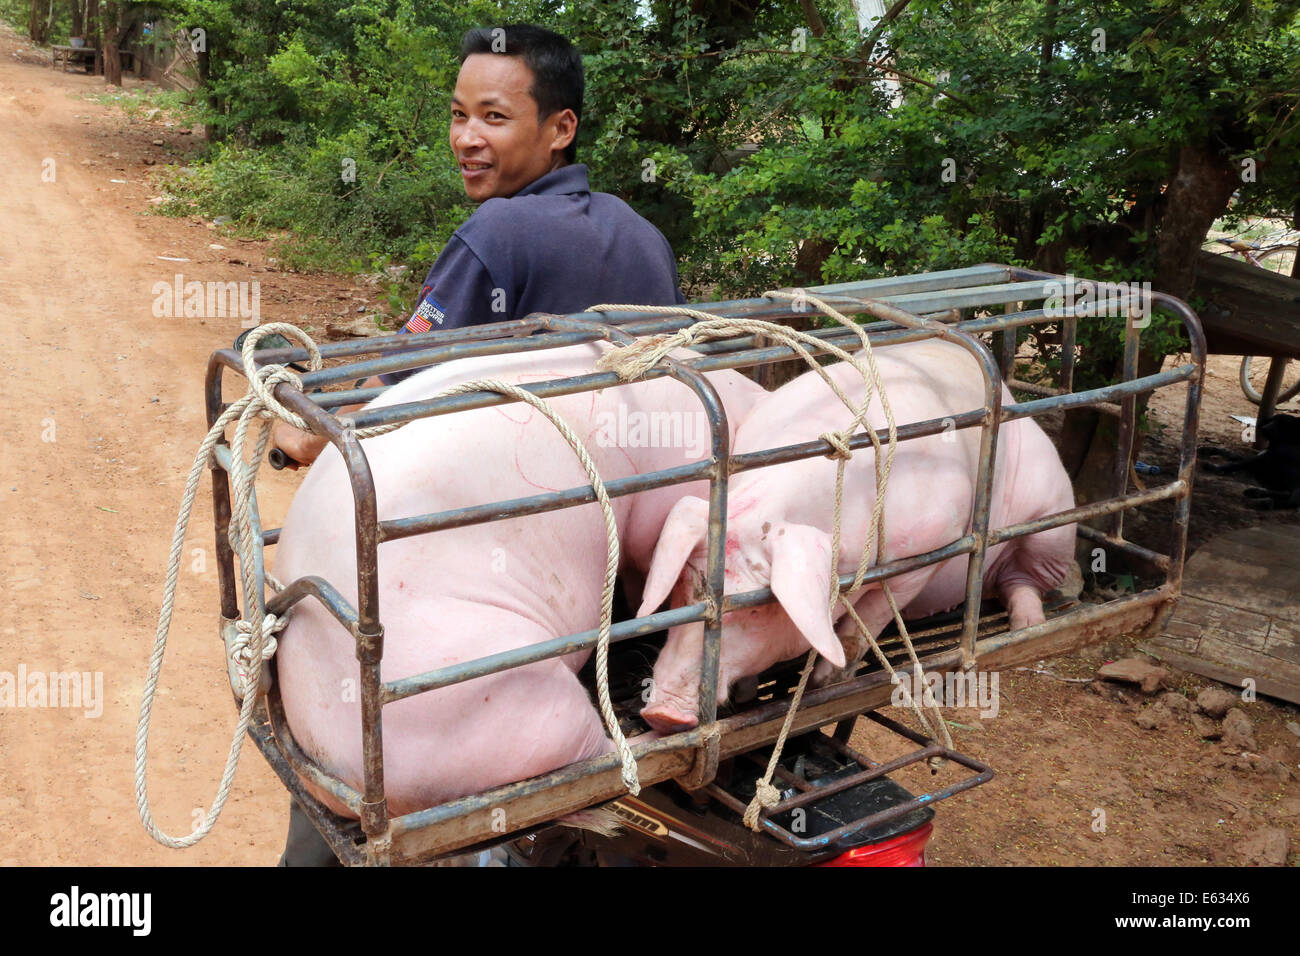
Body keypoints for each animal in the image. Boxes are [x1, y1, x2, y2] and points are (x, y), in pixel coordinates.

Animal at [639, 338, 1076, 733]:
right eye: (685, 585)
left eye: (756, 608)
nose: (662, 714)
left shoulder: (929, 548)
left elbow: (871, 617)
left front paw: (826, 682)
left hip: (1054, 516)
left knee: (1028, 578)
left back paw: (1028, 624)